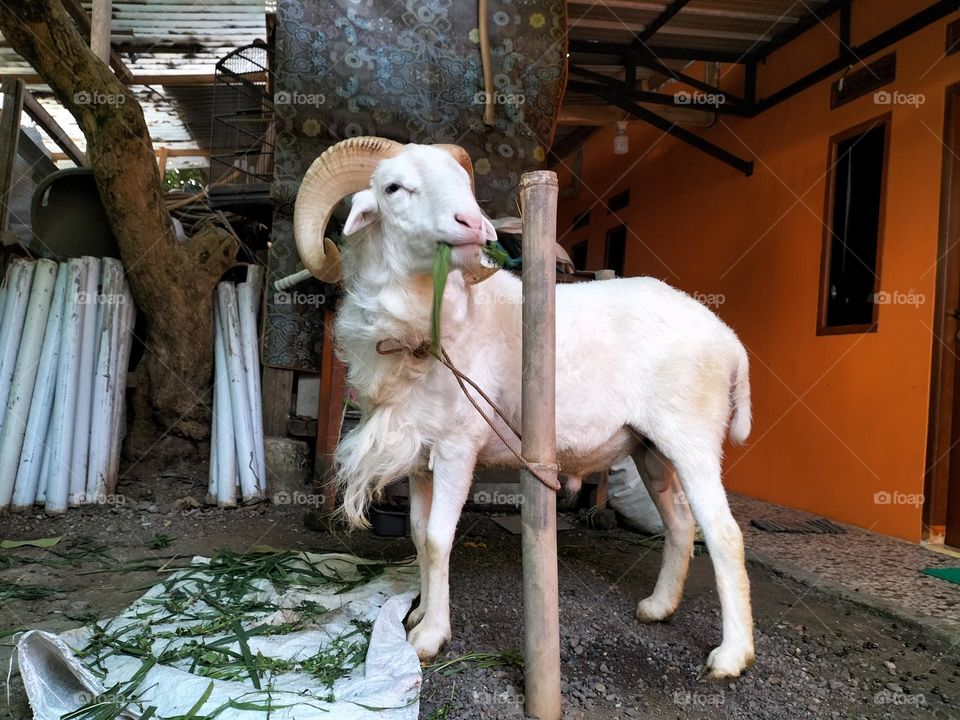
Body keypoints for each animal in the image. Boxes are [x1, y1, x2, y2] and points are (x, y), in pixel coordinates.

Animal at [293, 137, 755, 680]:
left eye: (462, 182)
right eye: (393, 187)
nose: (473, 224)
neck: (426, 328)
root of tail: (729, 340)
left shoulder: (457, 448)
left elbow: (438, 539)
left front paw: (430, 637)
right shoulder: (423, 459)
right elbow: (418, 536)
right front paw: (421, 615)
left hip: (691, 441)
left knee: (723, 534)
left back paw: (731, 656)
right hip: (650, 449)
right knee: (681, 523)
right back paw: (658, 608)